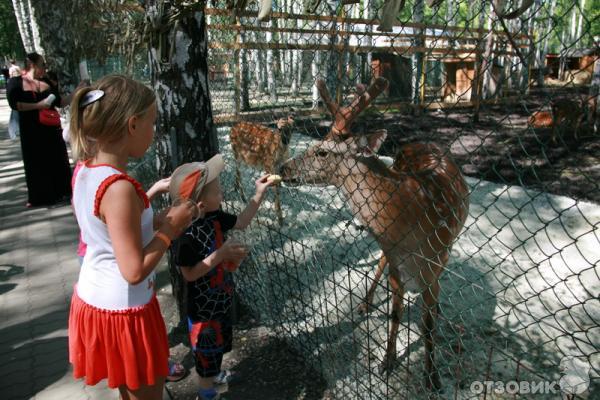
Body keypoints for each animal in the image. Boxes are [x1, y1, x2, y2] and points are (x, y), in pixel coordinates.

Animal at [278, 76, 472, 390]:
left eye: (322, 151)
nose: (283, 168)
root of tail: (424, 140)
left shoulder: (434, 263)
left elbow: (427, 325)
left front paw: (432, 377)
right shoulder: (397, 263)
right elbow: (395, 312)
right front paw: (387, 360)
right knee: (380, 259)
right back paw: (365, 302)